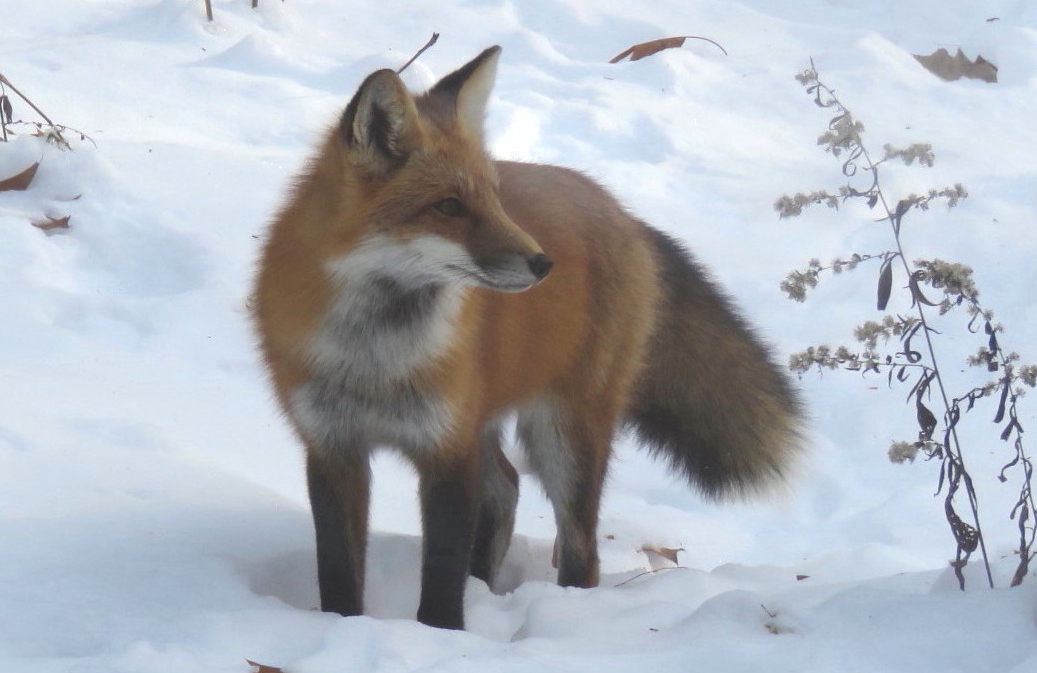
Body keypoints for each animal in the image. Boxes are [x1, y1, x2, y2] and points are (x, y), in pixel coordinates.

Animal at [252, 46, 801, 631]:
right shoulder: (333, 447)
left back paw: (565, 611)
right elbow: (338, 573)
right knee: (507, 492)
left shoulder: (447, 449)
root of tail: (621, 210)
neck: (376, 357)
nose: (544, 264)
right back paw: (484, 586)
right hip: (493, 423)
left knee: (580, 547)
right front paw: (344, 627)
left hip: (563, 435)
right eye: (449, 206)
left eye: (494, 199)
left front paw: (442, 635)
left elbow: (441, 577)